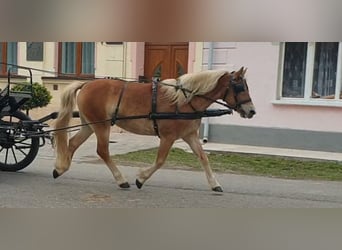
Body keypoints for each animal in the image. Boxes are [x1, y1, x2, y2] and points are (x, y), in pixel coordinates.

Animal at [53, 66, 255, 191]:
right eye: (239, 86)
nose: (252, 111)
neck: (183, 100)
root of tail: (86, 83)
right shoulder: (168, 137)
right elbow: (160, 161)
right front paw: (140, 178)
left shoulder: (189, 135)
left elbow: (203, 158)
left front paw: (214, 184)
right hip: (101, 125)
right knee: (102, 150)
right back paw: (121, 179)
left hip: (89, 125)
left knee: (73, 143)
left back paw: (60, 168)